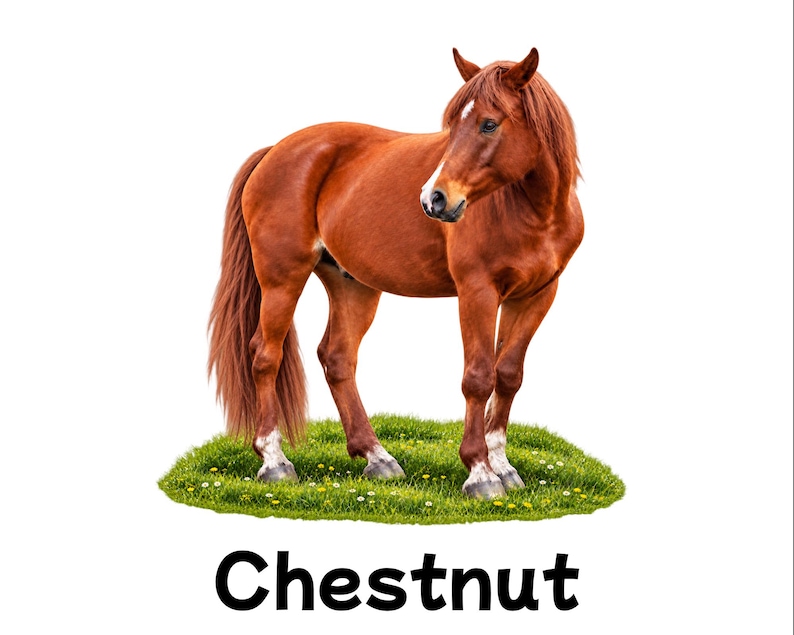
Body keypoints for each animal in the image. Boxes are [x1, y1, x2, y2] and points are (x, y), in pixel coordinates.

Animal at [208, 48, 583, 499]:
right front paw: (480, 473)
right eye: (452, 124)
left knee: (337, 358)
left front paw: (503, 466)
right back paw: (274, 461)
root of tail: (275, 150)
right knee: (265, 355)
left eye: (489, 123)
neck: (534, 212)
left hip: (352, 285)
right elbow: (478, 377)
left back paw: (377, 457)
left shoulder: (536, 295)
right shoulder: (477, 292)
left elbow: (508, 376)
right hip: (281, 279)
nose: (434, 199)